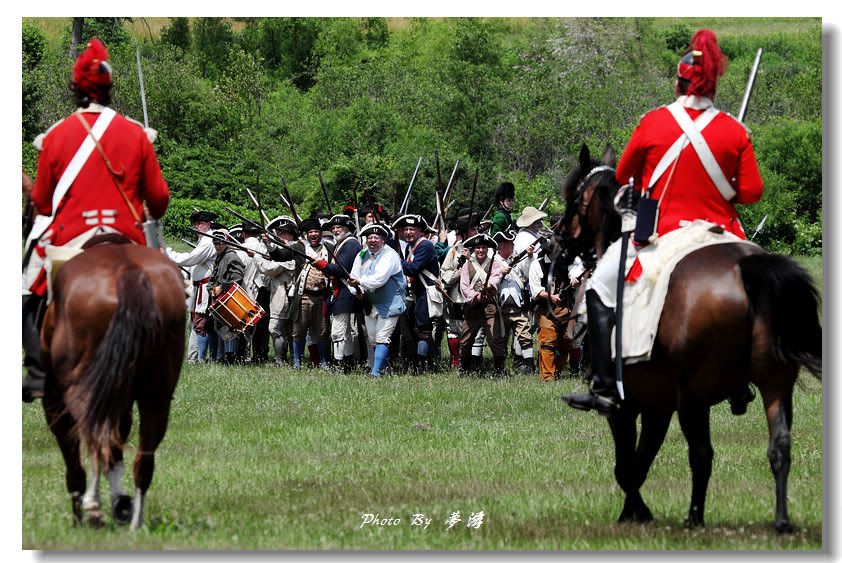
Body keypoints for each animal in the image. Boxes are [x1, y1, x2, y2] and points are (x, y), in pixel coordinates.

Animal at [39, 238, 185, 528]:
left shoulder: (55, 401)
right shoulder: (122, 401)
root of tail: (129, 274)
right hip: (157, 397)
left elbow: (77, 460)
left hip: (83, 392)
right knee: (142, 461)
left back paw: (95, 507)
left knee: (97, 439)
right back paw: (134, 521)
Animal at [552, 144, 820, 532]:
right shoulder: (658, 406)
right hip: (775, 385)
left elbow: (626, 465)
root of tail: (744, 268)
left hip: (694, 397)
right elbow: (640, 461)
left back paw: (695, 519)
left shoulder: (628, 407)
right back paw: (781, 522)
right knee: (779, 448)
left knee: (702, 454)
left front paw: (634, 512)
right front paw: (637, 511)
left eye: (573, 197)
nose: (557, 247)